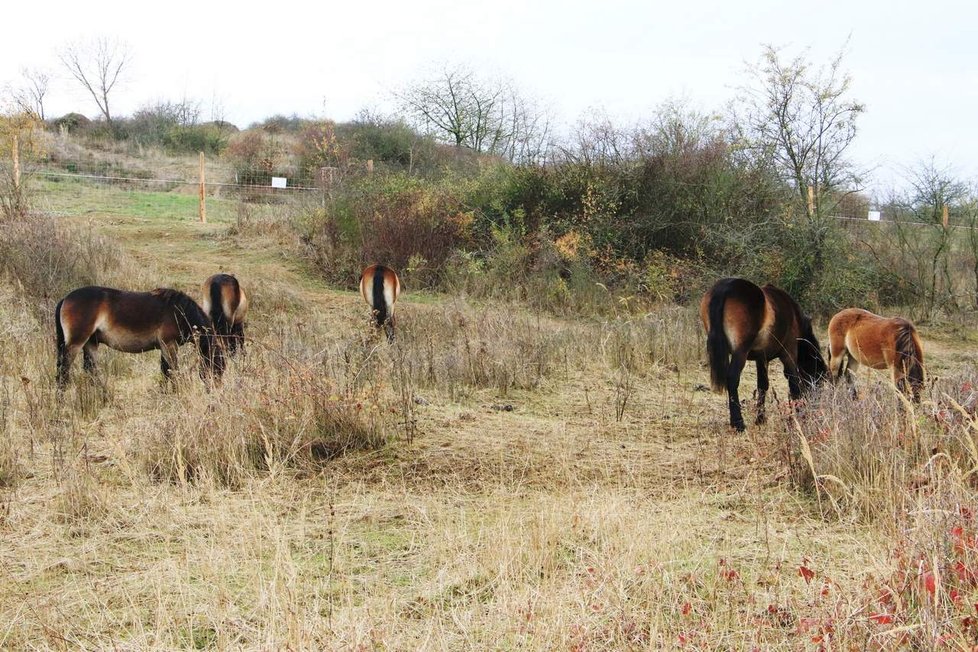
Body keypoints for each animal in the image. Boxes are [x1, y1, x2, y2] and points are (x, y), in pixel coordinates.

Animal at [55, 286, 223, 388]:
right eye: (218, 365)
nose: (214, 391)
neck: (179, 312)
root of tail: (65, 298)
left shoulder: (164, 347)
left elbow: (165, 372)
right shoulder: (169, 345)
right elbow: (172, 371)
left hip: (91, 342)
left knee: (91, 370)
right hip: (76, 343)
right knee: (63, 371)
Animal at [696, 278, 828, 430]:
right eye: (817, 380)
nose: (815, 407)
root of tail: (725, 287)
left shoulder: (762, 358)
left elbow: (762, 385)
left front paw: (760, 418)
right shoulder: (789, 353)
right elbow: (794, 384)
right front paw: (799, 417)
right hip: (740, 352)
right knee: (733, 379)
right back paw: (738, 423)